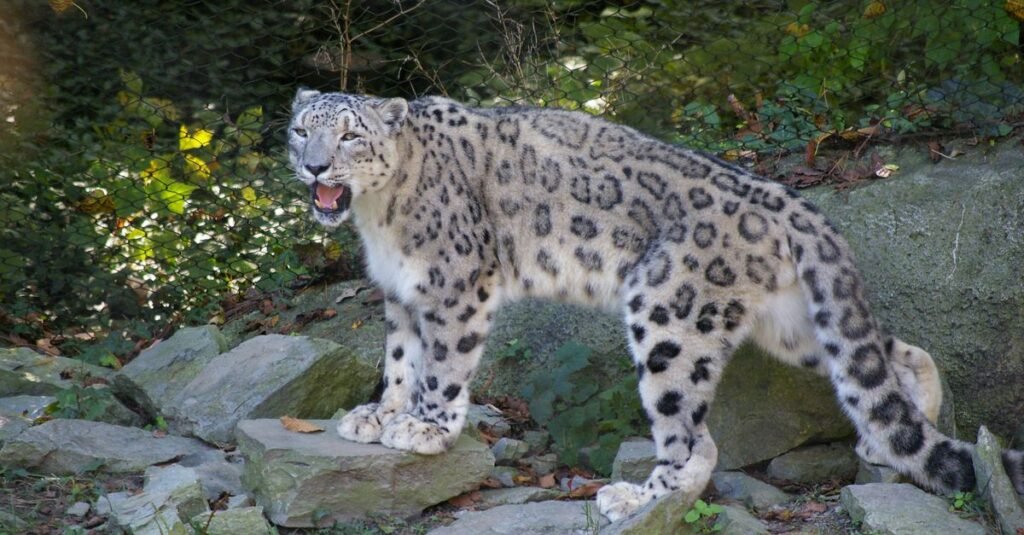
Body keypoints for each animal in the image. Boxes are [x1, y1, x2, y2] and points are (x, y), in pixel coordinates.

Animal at [286, 88, 1024, 521]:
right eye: (300, 130)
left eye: (350, 136)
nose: (315, 166)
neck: (377, 217)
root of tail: (788, 201)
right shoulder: (399, 293)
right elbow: (399, 358)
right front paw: (378, 414)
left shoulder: (453, 282)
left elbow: (440, 363)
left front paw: (426, 427)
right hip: (790, 322)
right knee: (879, 355)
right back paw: (896, 426)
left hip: (669, 313)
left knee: (689, 434)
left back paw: (632, 495)